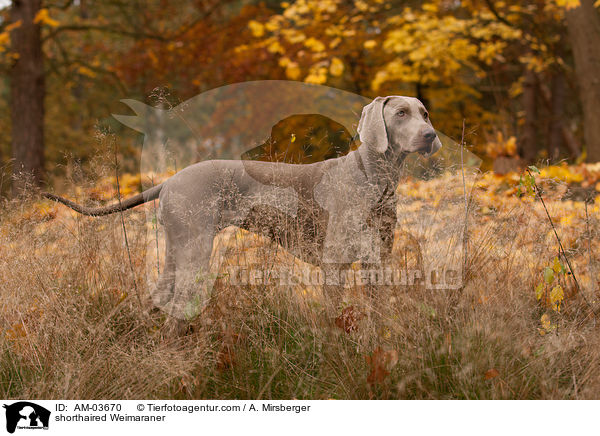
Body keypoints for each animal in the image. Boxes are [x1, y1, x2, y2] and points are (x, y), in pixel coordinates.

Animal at [44, 97, 440, 318]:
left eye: (424, 113)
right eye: (401, 113)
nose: (431, 134)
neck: (375, 178)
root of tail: (170, 180)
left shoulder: (377, 262)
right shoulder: (335, 263)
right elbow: (334, 316)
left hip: (177, 248)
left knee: (158, 298)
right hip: (195, 249)